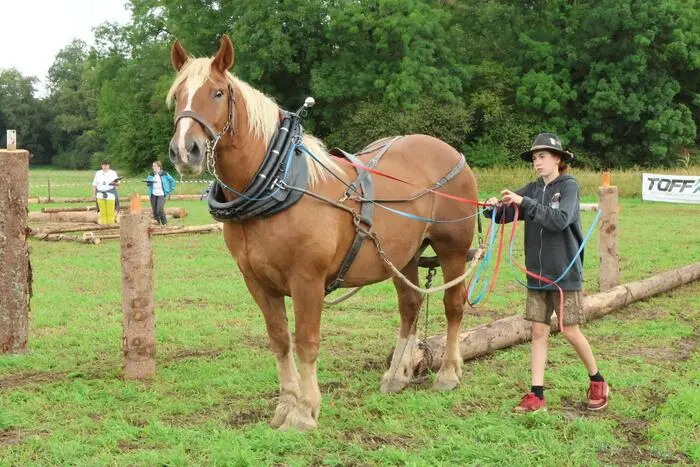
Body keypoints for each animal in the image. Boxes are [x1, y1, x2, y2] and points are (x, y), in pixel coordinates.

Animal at [167, 35, 479, 431]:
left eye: (218, 92)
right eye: (178, 95)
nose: (184, 150)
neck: (278, 185)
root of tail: (453, 154)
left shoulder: (307, 279)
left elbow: (306, 341)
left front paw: (304, 411)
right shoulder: (257, 282)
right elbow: (279, 340)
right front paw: (285, 405)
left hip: (452, 248)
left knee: (453, 305)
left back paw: (449, 373)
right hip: (402, 254)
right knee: (409, 306)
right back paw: (397, 375)